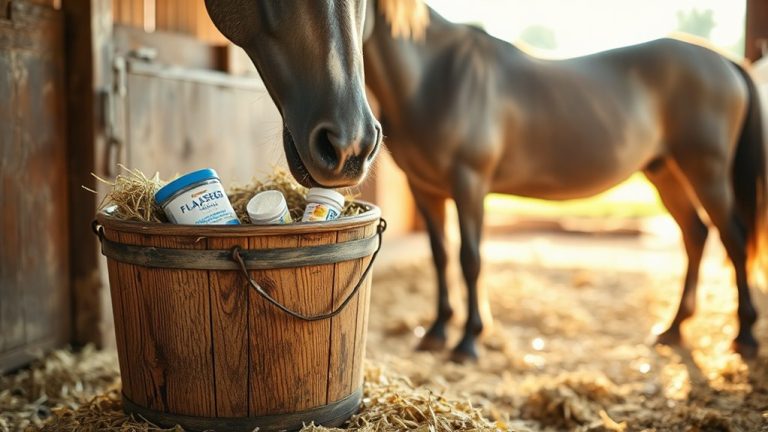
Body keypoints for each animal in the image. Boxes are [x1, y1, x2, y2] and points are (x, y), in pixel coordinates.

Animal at [362, 0, 768, 361]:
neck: (435, 76)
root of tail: (726, 62)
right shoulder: (425, 189)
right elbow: (440, 256)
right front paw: (436, 332)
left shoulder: (469, 185)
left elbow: (469, 259)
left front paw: (467, 342)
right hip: (666, 173)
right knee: (695, 234)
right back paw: (674, 328)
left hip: (707, 171)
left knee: (733, 238)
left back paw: (745, 335)